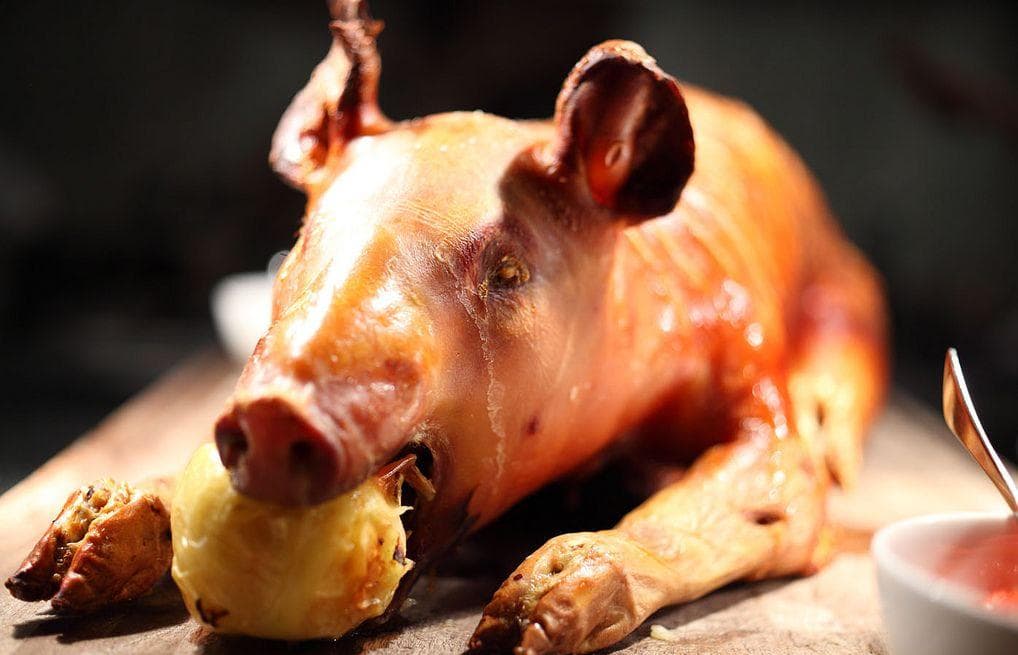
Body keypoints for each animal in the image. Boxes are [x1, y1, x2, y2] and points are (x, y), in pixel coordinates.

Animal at [7, 1, 887, 652]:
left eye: (508, 270)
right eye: (302, 239)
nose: (276, 410)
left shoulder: (748, 380)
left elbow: (782, 484)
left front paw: (516, 623)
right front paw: (75, 556)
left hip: (848, 288)